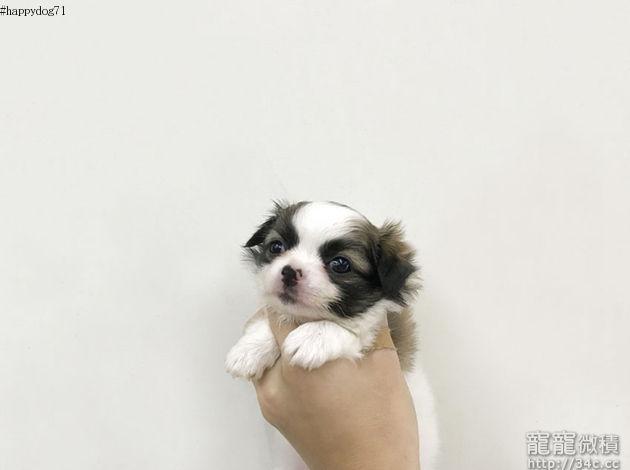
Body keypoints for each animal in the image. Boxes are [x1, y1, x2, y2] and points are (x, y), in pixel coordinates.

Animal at [226, 200, 438, 469]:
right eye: (276, 247)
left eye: (340, 264)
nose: (289, 271)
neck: (304, 319)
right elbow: (269, 317)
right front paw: (248, 351)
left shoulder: (376, 328)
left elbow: (352, 329)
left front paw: (311, 338)